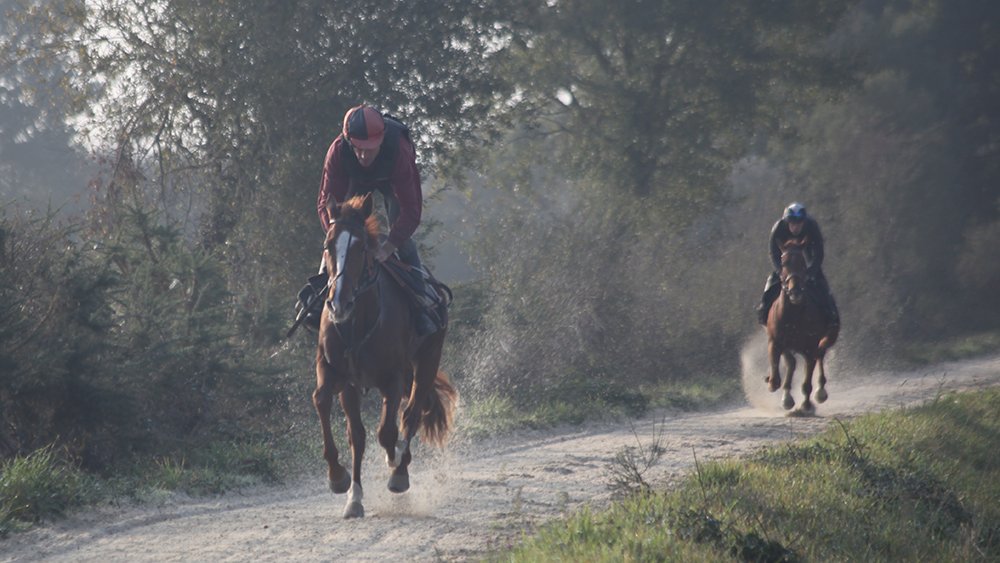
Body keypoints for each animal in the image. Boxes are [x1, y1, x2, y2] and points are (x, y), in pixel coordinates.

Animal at [314, 193, 457, 518]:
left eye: (361, 248)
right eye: (328, 245)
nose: (338, 303)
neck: (357, 322)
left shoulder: (393, 377)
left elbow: (387, 432)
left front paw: (395, 465)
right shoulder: (337, 374)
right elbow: (342, 421)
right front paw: (344, 484)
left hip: (427, 361)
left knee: (412, 412)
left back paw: (400, 469)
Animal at [765, 238, 839, 415]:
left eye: (803, 263)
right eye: (784, 263)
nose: (795, 291)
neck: (793, 314)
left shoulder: (810, 347)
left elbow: (807, 381)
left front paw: (806, 405)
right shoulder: (776, 342)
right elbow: (781, 370)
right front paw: (775, 386)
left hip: (822, 340)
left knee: (819, 357)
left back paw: (820, 393)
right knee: (792, 363)